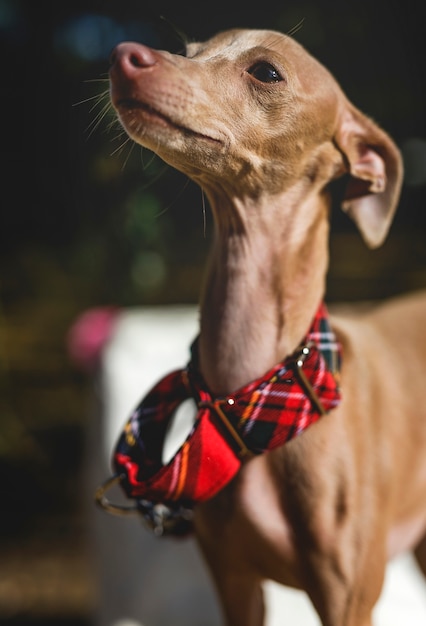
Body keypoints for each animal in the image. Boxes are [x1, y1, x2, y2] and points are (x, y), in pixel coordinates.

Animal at [109, 28, 426, 624]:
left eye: (267, 72)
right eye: (190, 49)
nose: (124, 56)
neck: (256, 393)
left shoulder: (348, 599)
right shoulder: (234, 581)